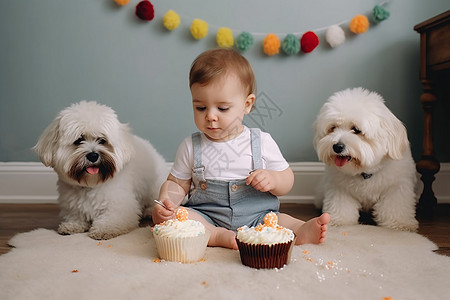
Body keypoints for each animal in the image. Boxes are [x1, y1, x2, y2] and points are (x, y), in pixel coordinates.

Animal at [34, 102, 169, 240]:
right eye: (78, 140)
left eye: (102, 140)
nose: (93, 155)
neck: (91, 184)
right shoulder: (73, 205)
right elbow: (76, 217)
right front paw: (71, 225)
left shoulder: (121, 207)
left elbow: (112, 219)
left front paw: (103, 229)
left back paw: (149, 211)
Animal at [312, 88, 418, 231]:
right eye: (333, 128)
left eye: (356, 130)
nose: (337, 146)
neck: (365, 172)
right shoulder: (339, 188)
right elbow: (341, 205)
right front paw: (339, 221)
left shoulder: (397, 187)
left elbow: (395, 205)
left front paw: (400, 223)